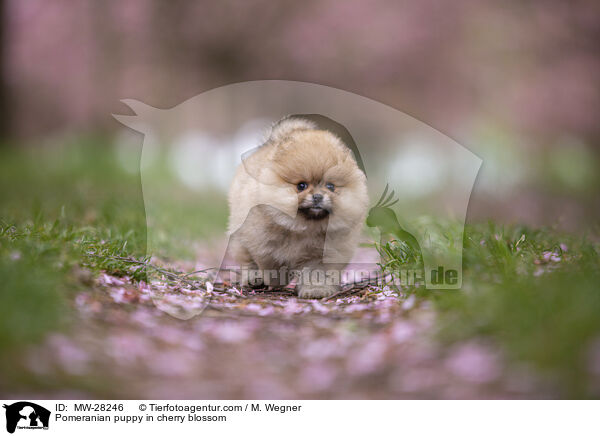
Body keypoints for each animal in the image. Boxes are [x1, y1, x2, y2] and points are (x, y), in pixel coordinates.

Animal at [229, 117, 370, 298]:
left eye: (330, 186)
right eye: (301, 186)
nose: (318, 196)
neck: (302, 227)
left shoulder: (321, 255)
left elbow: (315, 273)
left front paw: (315, 290)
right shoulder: (263, 245)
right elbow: (271, 264)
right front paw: (277, 280)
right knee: (247, 259)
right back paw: (253, 278)